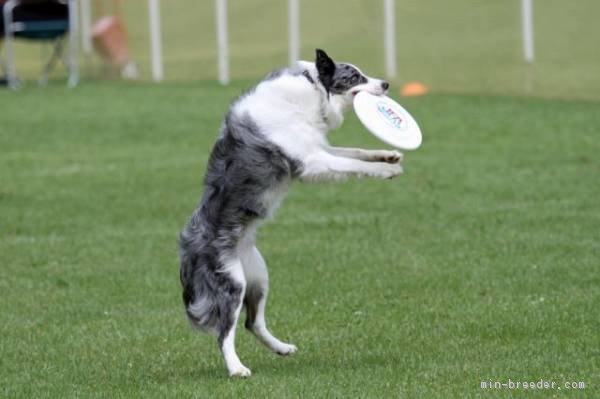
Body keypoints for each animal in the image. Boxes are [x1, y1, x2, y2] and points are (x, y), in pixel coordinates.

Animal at [178, 49, 404, 378]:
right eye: (354, 77)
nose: (386, 84)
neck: (312, 91)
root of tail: (187, 246)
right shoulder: (311, 161)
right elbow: (354, 164)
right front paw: (387, 170)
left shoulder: (317, 149)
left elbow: (354, 151)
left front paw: (388, 155)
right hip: (232, 282)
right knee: (225, 331)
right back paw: (237, 368)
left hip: (259, 275)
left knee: (252, 322)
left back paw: (281, 348)